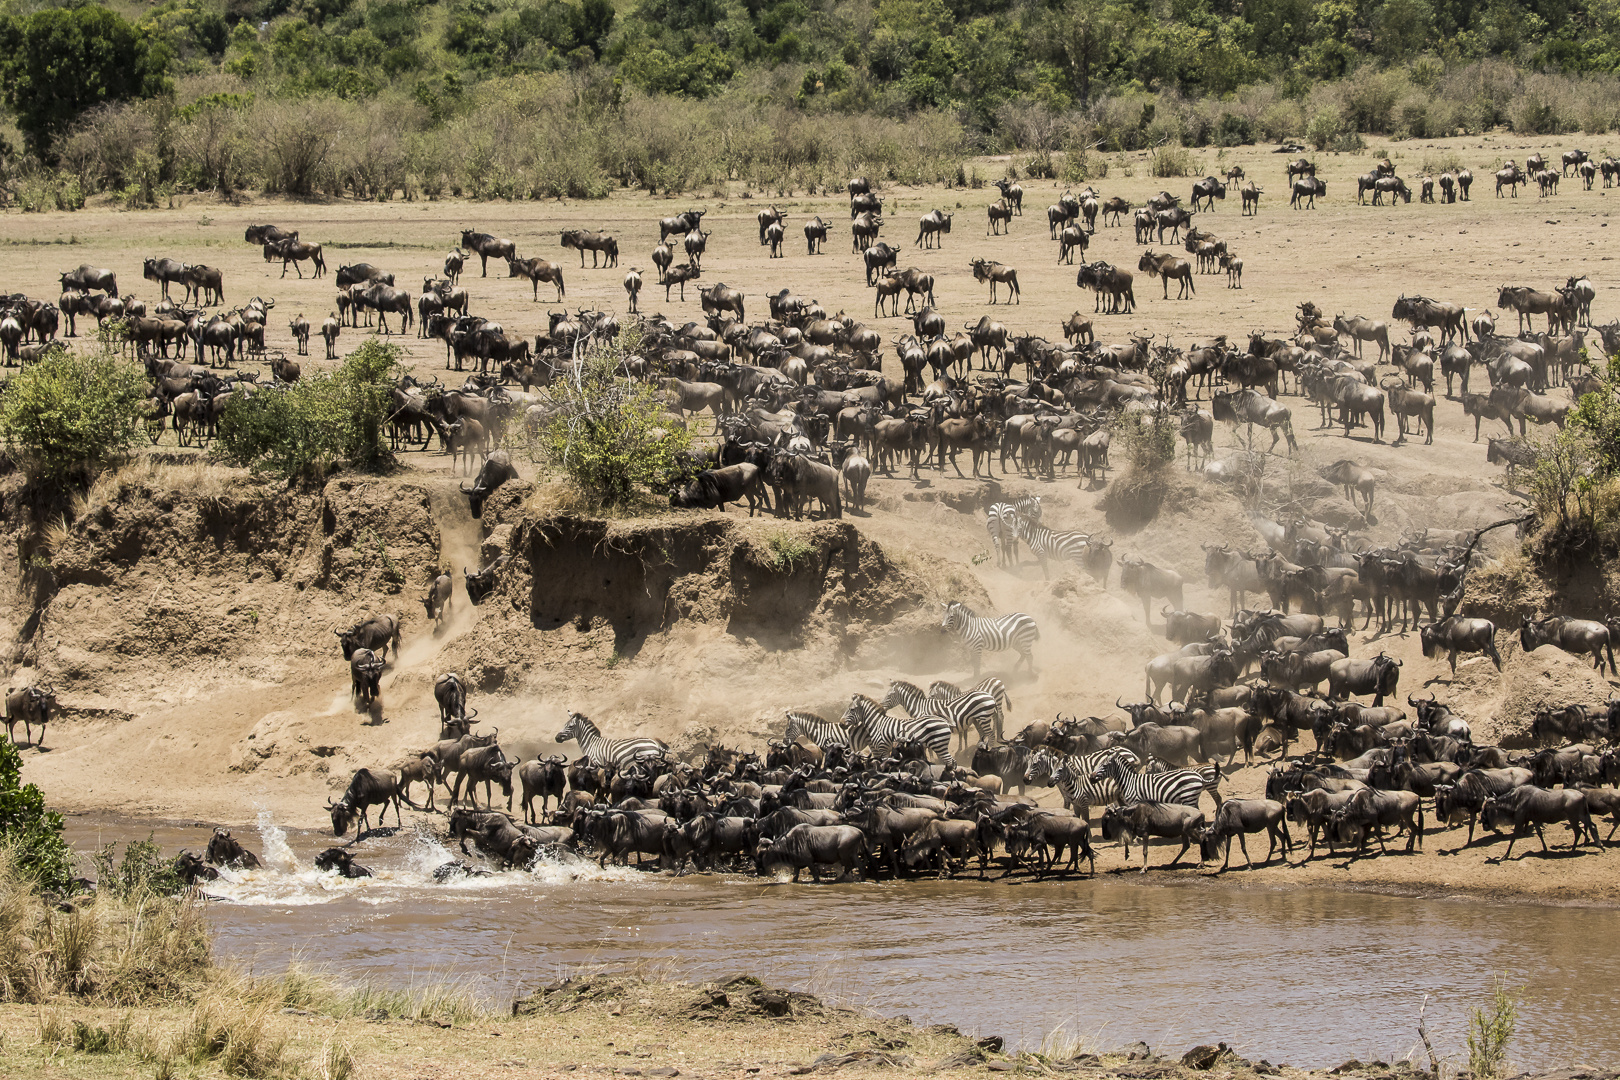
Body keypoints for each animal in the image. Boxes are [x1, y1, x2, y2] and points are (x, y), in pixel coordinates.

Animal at [1088, 757, 1218, 806]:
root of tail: (1198, 776)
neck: (1129, 781)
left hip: (1189, 797)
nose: (1091, 778)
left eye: (1104, 766)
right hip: (1192, 797)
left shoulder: (1135, 801)